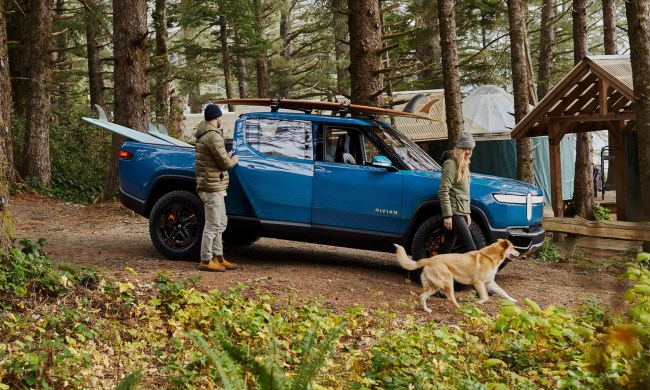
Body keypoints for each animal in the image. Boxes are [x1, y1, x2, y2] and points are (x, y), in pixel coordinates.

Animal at [392, 239, 520, 312]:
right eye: (513, 247)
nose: (519, 254)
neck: (490, 257)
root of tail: (428, 260)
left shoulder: (490, 282)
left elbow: (503, 292)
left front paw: (513, 299)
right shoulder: (479, 283)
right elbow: (485, 298)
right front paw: (478, 302)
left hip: (435, 287)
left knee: (423, 296)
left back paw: (427, 310)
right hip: (448, 281)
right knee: (451, 298)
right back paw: (460, 308)